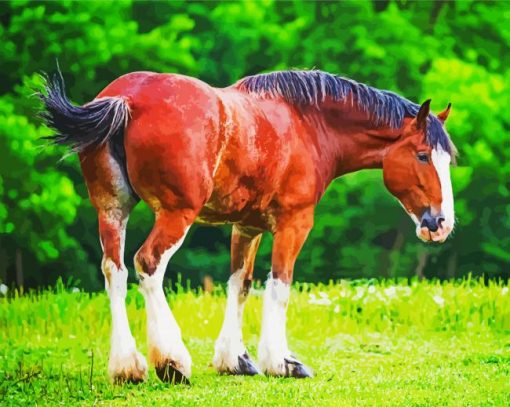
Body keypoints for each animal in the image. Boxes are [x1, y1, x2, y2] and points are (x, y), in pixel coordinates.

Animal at [38, 69, 454, 386]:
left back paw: (127, 366)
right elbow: (280, 285)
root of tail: (128, 98)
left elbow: (240, 285)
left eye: (446, 159)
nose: (441, 223)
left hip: (112, 210)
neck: (307, 124)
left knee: (116, 270)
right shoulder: (293, 224)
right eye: (422, 155)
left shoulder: (247, 227)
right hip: (175, 214)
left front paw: (234, 359)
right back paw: (171, 361)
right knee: (148, 264)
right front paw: (281, 362)